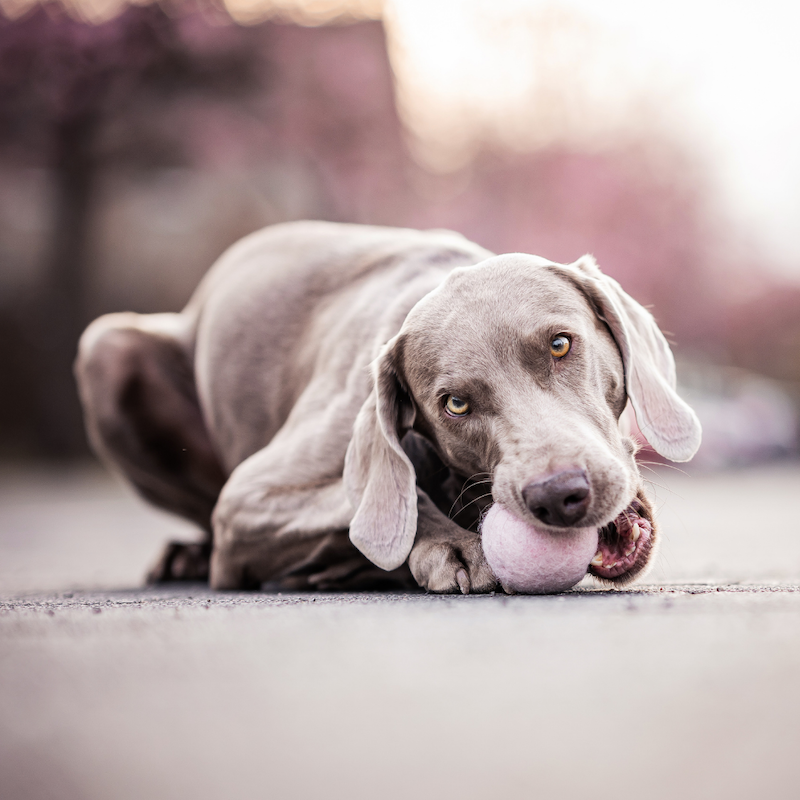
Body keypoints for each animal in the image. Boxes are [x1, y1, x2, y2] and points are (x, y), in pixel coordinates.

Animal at [75, 222, 700, 592]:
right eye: (455, 404)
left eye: (560, 345)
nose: (559, 495)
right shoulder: (247, 498)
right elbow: (392, 498)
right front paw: (451, 546)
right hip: (108, 346)